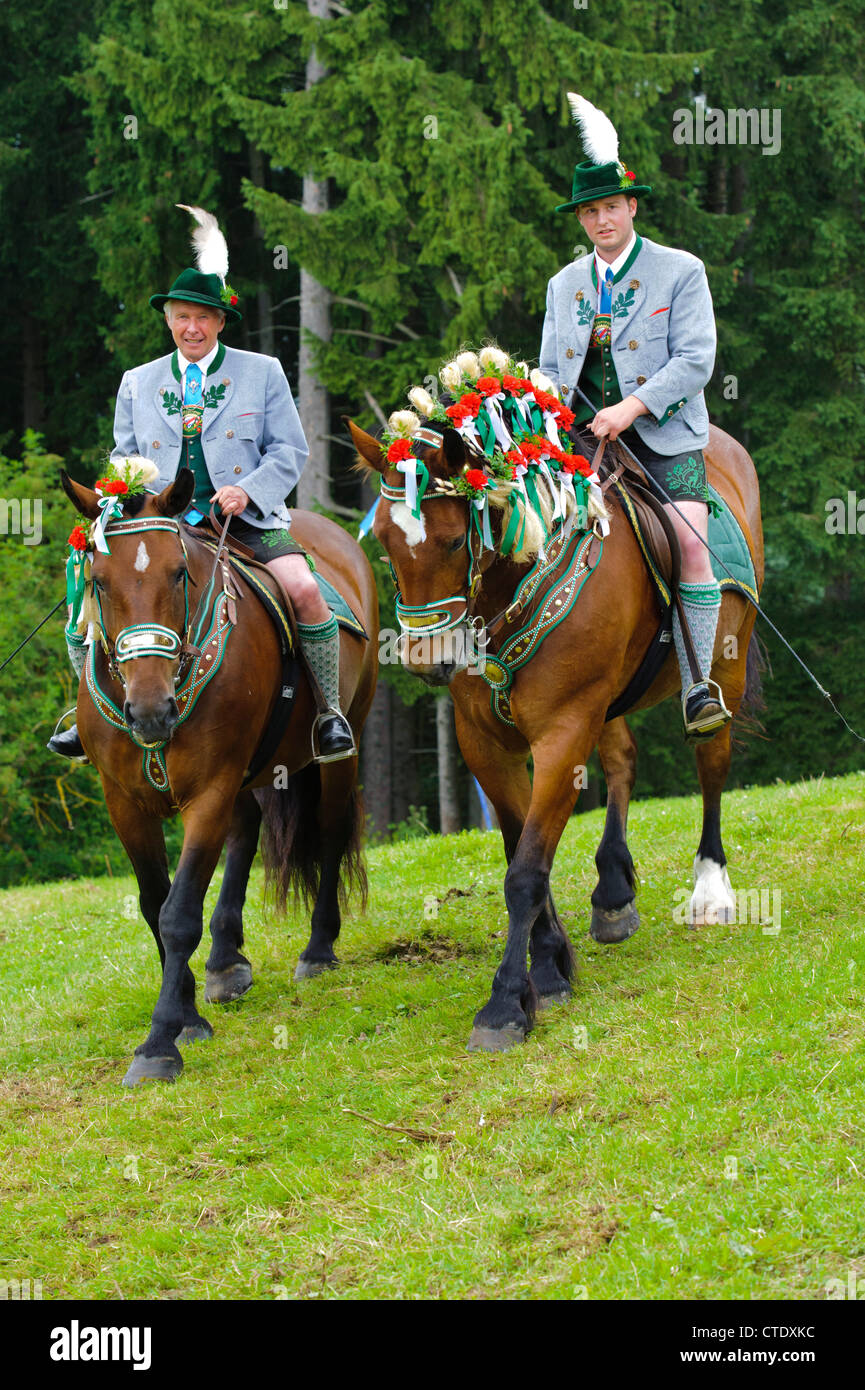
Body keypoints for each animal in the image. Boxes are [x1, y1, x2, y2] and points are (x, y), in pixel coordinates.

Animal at [57, 467, 375, 1084]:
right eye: (98, 581)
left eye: (178, 573)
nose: (149, 711)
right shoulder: (124, 802)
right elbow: (154, 905)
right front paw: (186, 1015)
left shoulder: (208, 790)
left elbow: (179, 913)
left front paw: (161, 1041)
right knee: (245, 834)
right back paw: (227, 962)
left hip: (338, 750)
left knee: (326, 832)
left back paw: (318, 950)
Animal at [349, 417, 767, 1045]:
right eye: (384, 541)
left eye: (453, 540)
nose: (429, 660)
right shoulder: (486, 745)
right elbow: (519, 852)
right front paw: (548, 968)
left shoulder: (564, 732)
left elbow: (526, 872)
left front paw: (504, 1003)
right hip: (609, 701)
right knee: (623, 760)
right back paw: (614, 891)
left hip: (722, 668)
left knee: (712, 766)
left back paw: (710, 888)